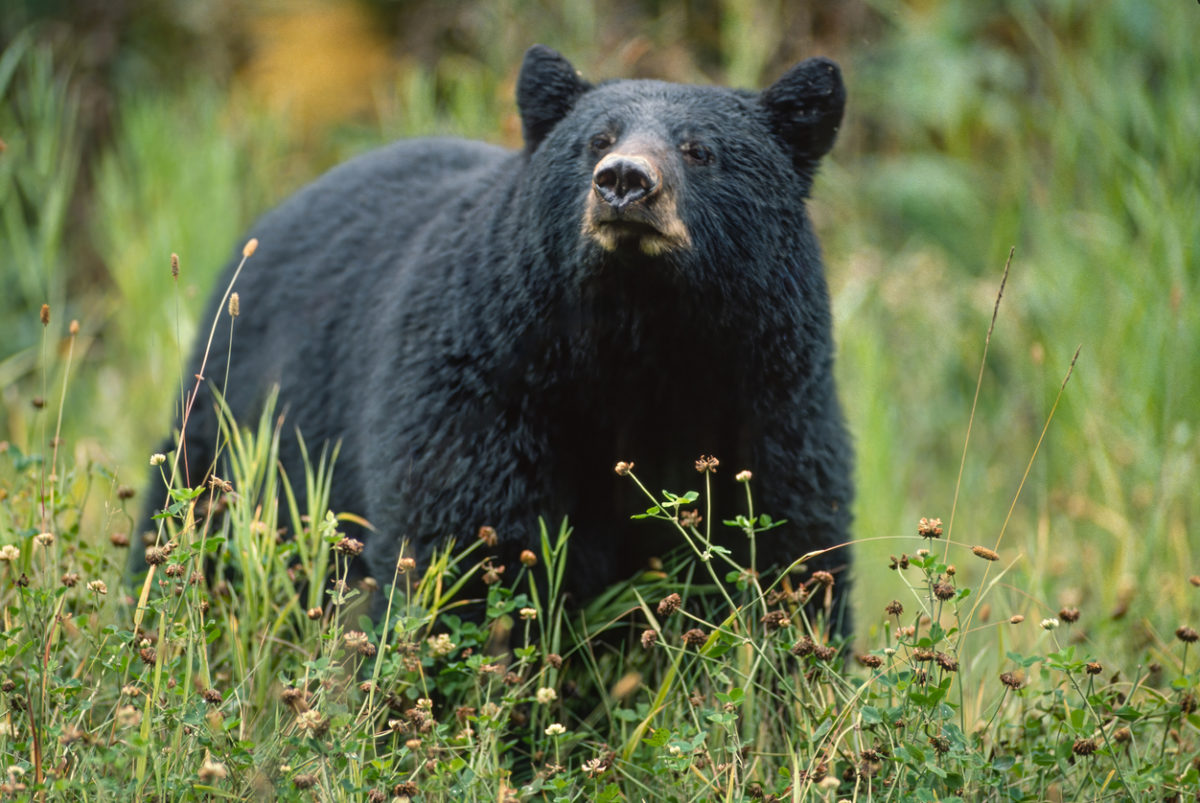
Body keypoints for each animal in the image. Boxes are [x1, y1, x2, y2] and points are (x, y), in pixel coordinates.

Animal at [142, 47, 854, 624]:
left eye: (698, 149)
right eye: (596, 140)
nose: (624, 180)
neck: (633, 340)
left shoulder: (768, 401)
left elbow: (787, 546)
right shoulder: (487, 386)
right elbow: (465, 550)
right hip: (235, 421)